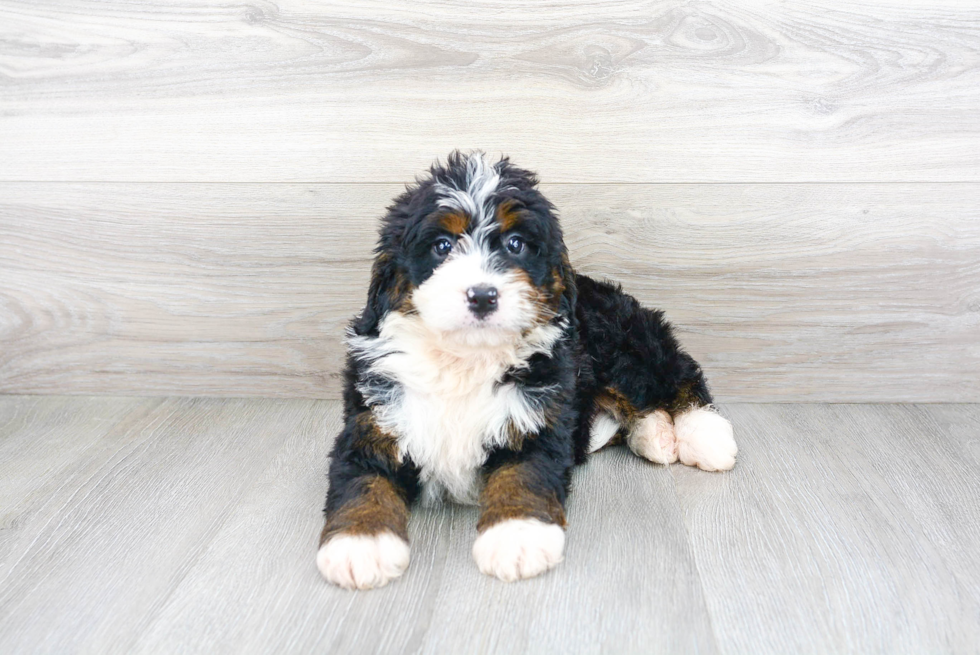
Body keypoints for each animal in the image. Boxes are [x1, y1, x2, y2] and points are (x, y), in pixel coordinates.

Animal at [314, 152, 736, 588]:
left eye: (515, 244)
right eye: (442, 246)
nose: (483, 296)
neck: (465, 359)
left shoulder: (536, 418)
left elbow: (523, 475)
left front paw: (516, 536)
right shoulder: (373, 420)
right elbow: (363, 480)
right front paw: (361, 543)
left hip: (625, 344)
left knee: (678, 375)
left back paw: (705, 436)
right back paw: (655, 436)